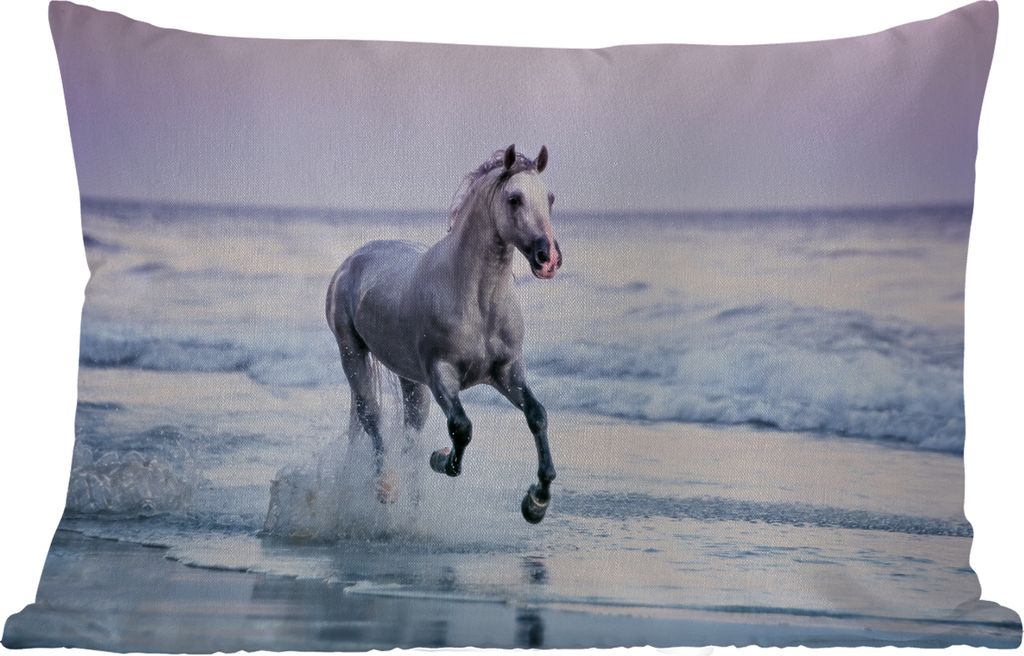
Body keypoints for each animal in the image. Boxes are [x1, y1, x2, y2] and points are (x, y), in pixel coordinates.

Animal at [326, 144, 562, 524]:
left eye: (550, 198)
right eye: (514, 199)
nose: (549, 258)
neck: (477, 301)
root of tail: (352, 261)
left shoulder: (507, 372)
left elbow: (537, 415)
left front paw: (536, 503)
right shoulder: (441, 374)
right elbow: (461, 427)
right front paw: (441, 460)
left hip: (410, 379)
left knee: (410, 431)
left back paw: (412, 506)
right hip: (353, 353)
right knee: (371, 416)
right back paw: (385, 485)